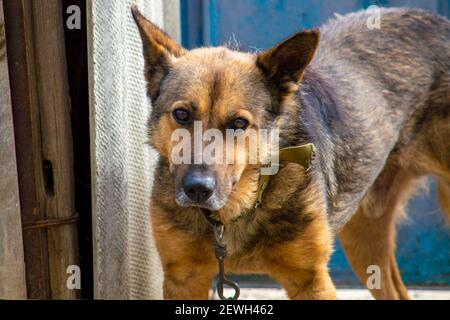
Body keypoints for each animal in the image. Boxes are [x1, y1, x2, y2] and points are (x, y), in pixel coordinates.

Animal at [132, 5, 448, 300]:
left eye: (239, 123)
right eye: (182, 114)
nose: (197, 189)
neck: (237, 210)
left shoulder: (310, 280)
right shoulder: (184, 277)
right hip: (364, 235)